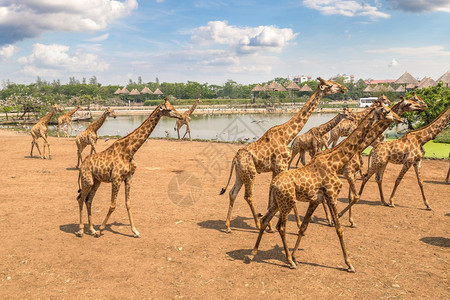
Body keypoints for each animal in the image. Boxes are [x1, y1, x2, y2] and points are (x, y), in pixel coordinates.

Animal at [76, 99, 182, 238]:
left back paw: (92, 229)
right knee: (80, 199)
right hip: (87, 180)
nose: (181, 116)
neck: (130, 151)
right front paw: (101, 230)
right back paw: (81, 230)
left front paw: (135, 231)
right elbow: (113, 205)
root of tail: (82, 165)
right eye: (169, 109)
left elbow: (128, 203)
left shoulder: (129, 178)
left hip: (96, 181)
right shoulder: (116, 179)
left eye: (174, 107)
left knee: (88, 200)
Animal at [220, 77, 346, 232]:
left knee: (232, 193)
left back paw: (228, 226)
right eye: (329, 85)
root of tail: (234, 159)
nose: (343, 88)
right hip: (250, 173)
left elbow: (271, 192)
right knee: (248, 196)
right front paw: (295, 224)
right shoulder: (281, 166)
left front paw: (269, 225)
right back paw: (256, 224)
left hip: (240, 173)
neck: (286, 136)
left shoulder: (276, 169)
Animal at [244, 102, 402, 270]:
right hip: (287, 202)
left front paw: (295, 255)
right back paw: (289, 261)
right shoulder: (332, 195)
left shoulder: (316, 199)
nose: (398, 119)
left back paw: (253, 254)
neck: (335, 162)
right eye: (387, 111)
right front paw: (349, 264)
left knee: (265, 220)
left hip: (277, 201)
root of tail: (273, 184)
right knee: (281, 226)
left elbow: (303, 227)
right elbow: (339, 228)